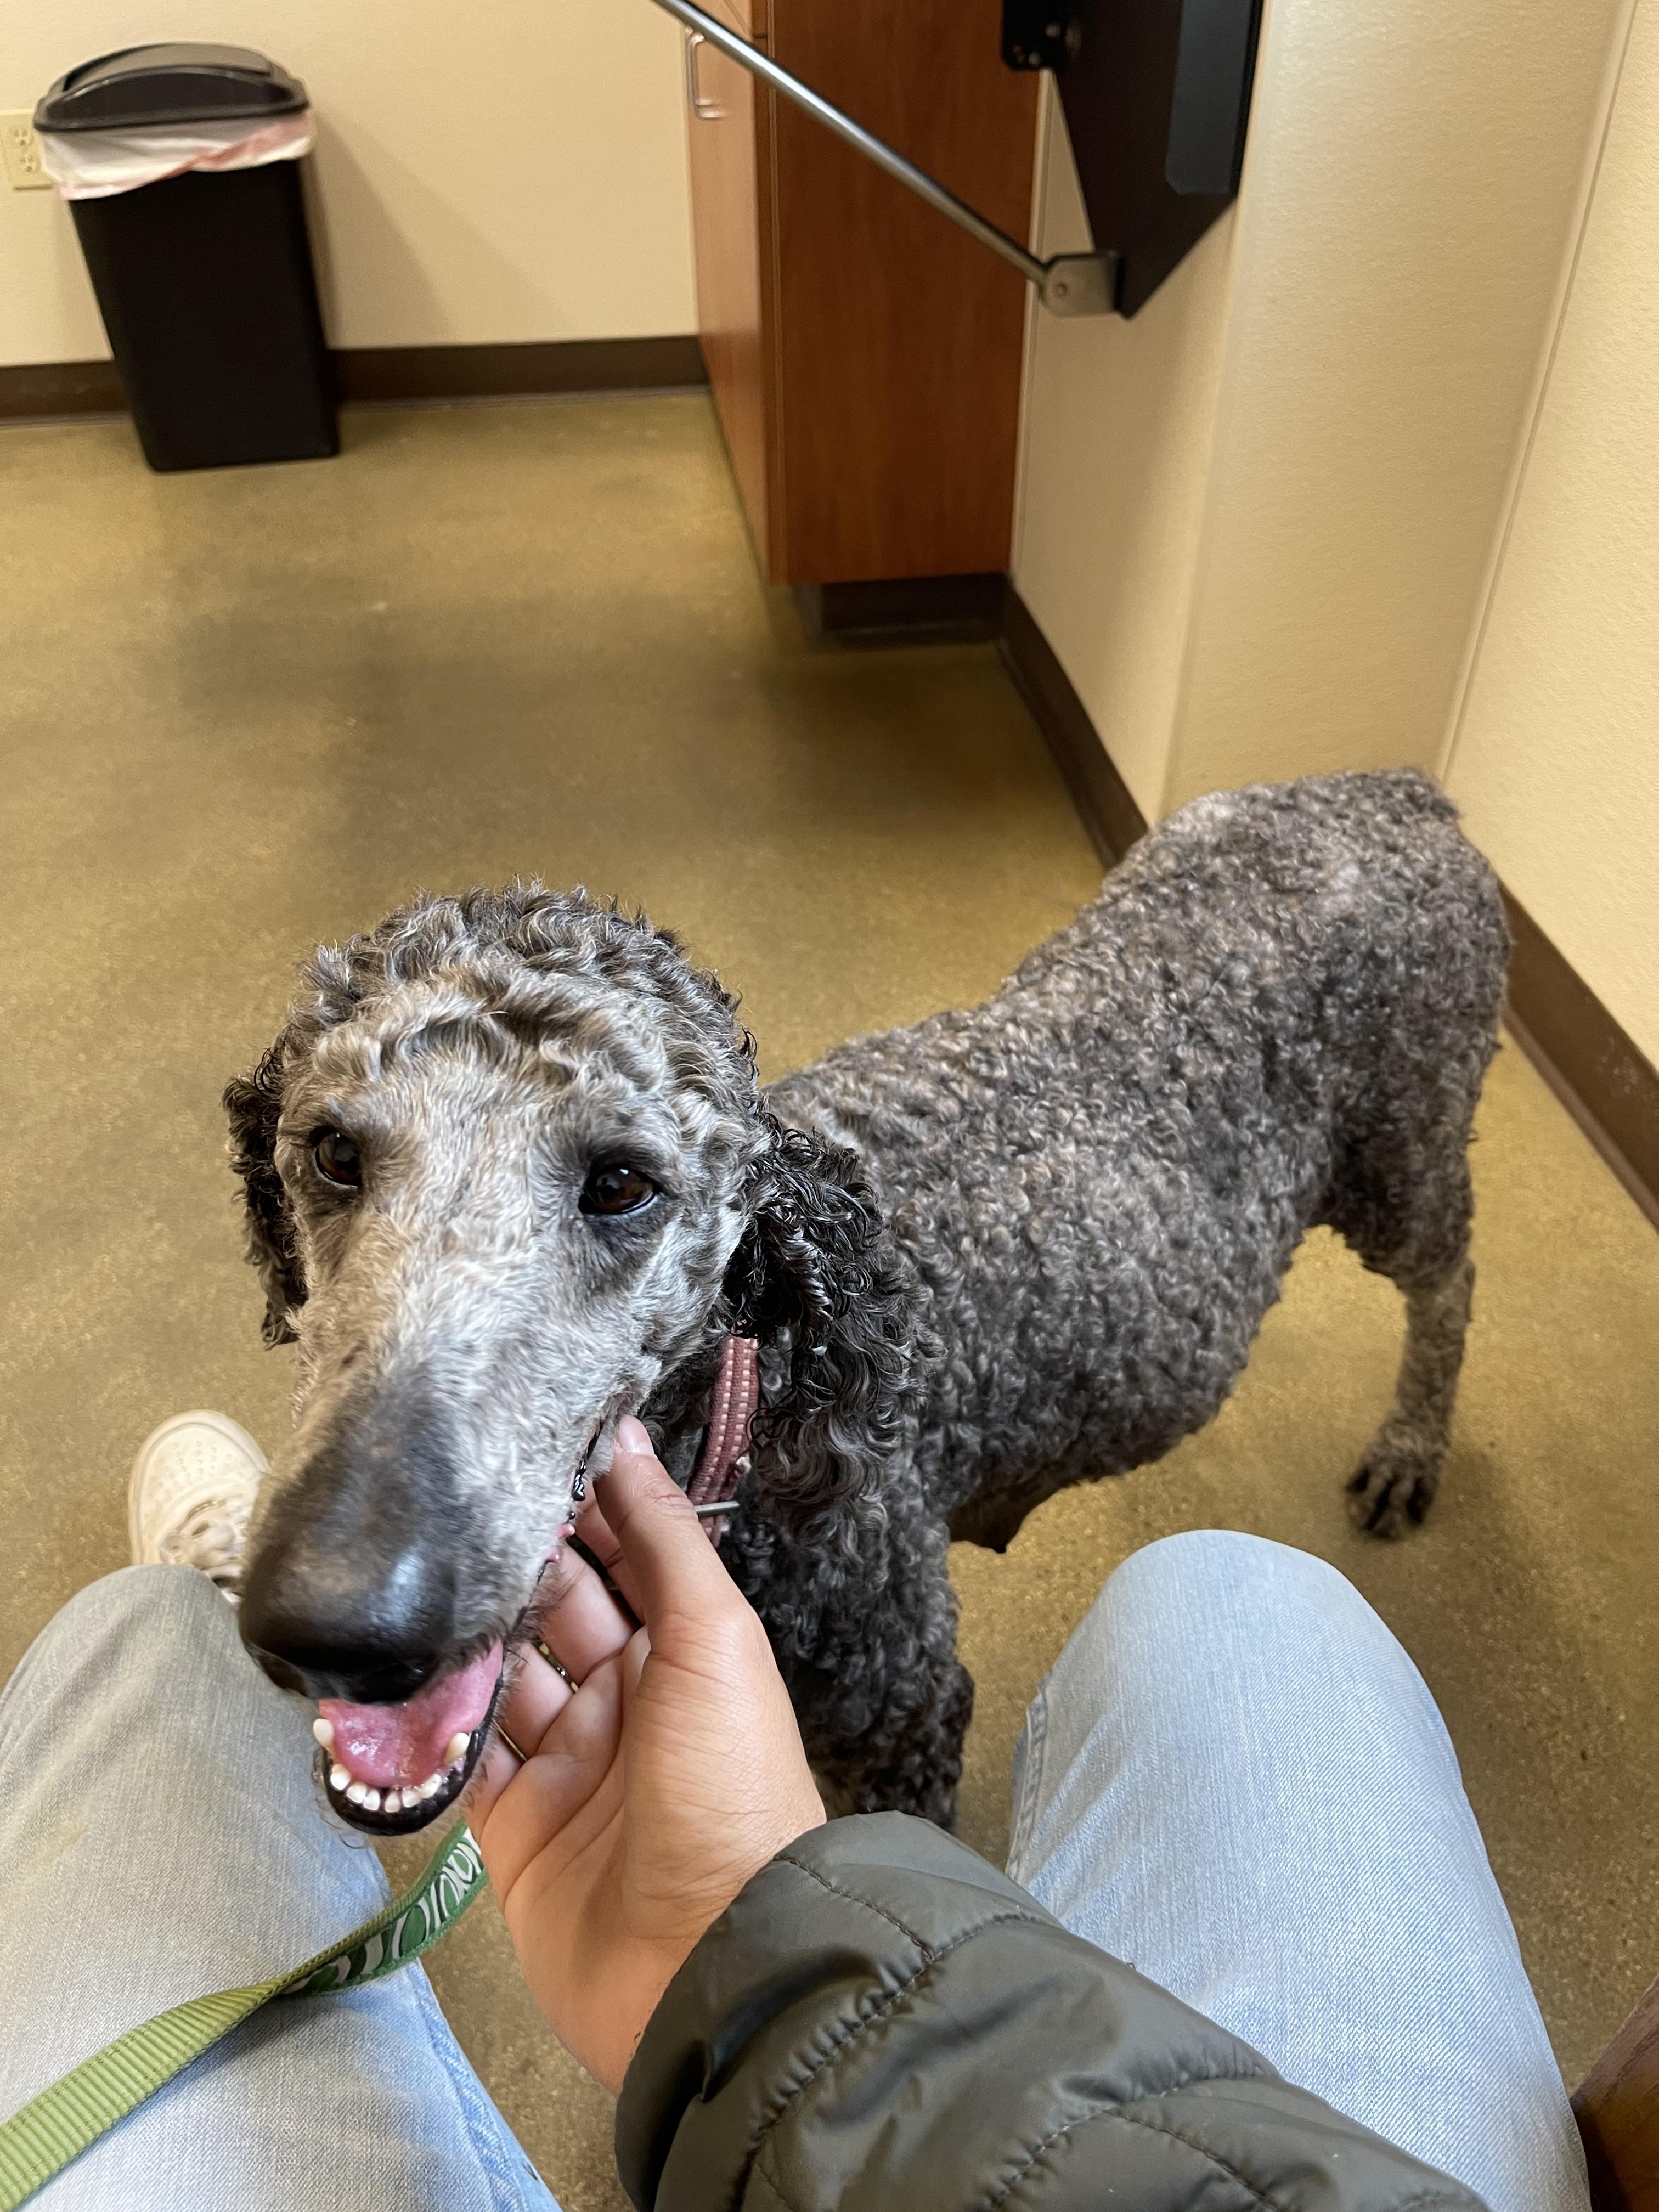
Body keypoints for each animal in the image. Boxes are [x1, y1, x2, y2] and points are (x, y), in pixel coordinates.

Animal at [227, 768, 1507, 1834]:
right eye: (332, 1153)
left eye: (624, 1184)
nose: (336, 1618)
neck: (750, 1417)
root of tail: (1401, 792)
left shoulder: (902, 1706)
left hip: (1400, 1157)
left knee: (1451, 1282)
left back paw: (1410, 1446)